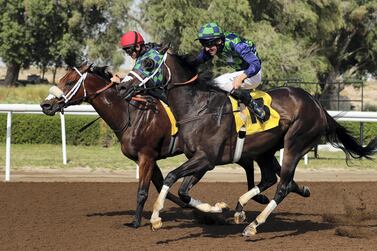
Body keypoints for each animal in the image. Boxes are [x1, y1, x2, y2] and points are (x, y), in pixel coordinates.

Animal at [40, 64, 270, 227]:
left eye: (70, 81)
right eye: (61, 79)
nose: (46, 105)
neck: (131, 115)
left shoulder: (146, 156)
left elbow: (143, 191)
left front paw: (135, 222)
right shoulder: (150, 159)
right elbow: (164, 188)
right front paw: (206, 214)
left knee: (248, 163)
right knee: (247, 162)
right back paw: (257, 197)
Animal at [118, 48, 376, 235]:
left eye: (149, 64)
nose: (122, 86)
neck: (199, 108)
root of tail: (317, 105)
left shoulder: (206, 159)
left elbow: (171, 177)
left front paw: (155, 217)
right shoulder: (200, 160)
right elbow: (182, 190)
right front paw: (217, 208)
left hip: (295, 143)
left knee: (283, 185)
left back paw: (254, 224)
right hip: (265, 150)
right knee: (272, 178)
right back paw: (245, 207)